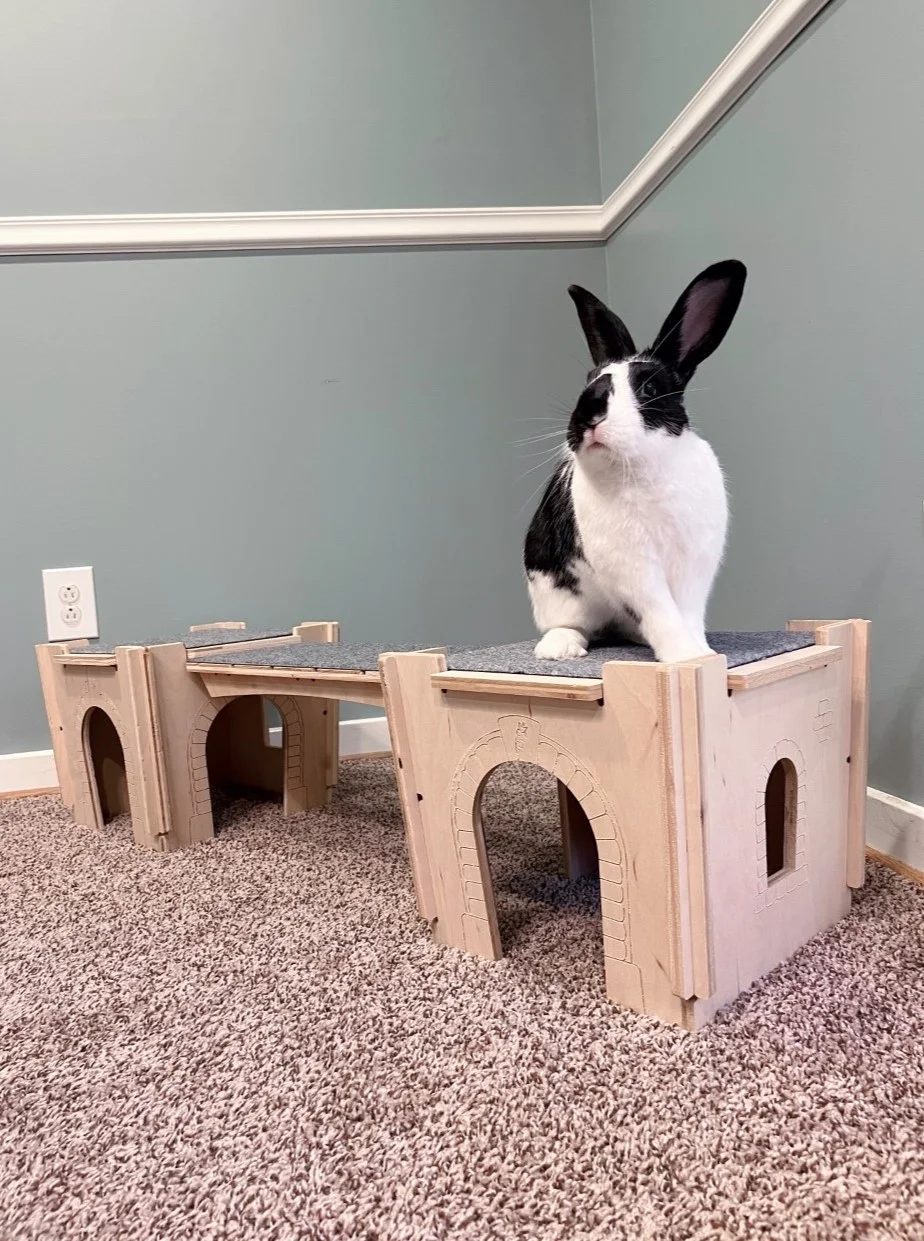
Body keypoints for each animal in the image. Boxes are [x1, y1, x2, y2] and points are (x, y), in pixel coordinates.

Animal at [524, 259, 747, 664]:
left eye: (650, 388)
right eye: (588, 382)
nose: (588, 414)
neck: (646, 464)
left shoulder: (694, 564)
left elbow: (687, 613)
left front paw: (703, 652)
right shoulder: (633, 567)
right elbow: (660, 612)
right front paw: (685, 658)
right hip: (554, 592)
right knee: (571, 625)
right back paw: (560, 648)